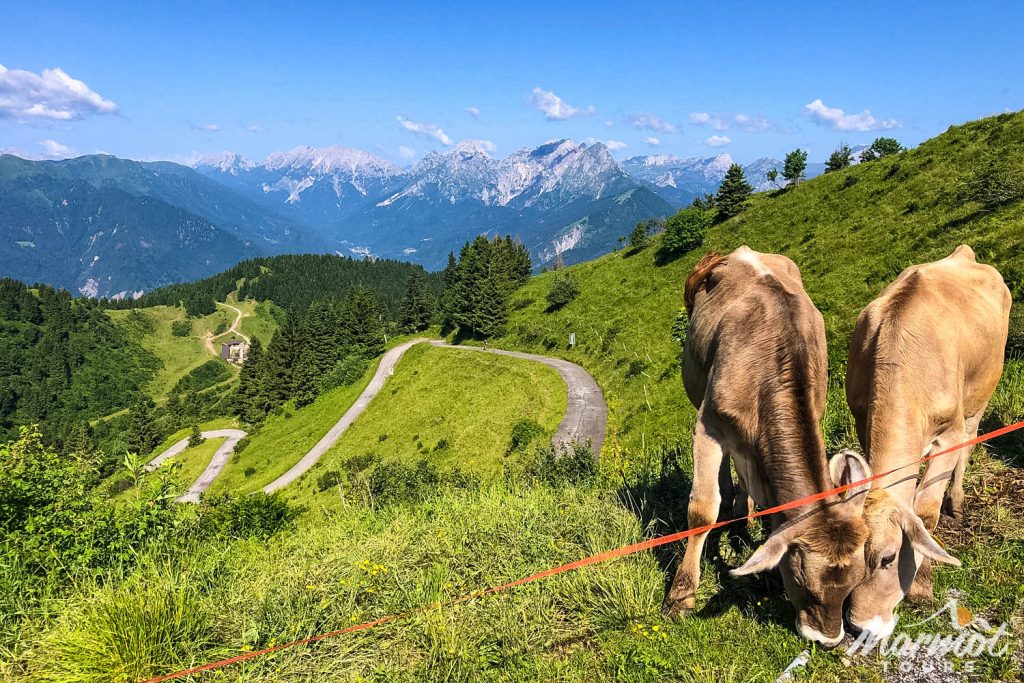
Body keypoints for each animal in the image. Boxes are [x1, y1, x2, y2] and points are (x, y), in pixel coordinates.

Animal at [667, 245, 876, 647]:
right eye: (803, 582)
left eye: (855, 584)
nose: (828, 639)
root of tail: (740, 252)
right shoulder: (708, 422)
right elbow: (701, 511)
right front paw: (681, 596)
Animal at [843, 245, 1011, 643]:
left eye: (888, 559)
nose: (858, 625)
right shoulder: (861, 420)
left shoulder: (948, 432)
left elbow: (925, 514)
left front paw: (920, 585)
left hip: (982, 391)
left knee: (969, 441)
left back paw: (958, 501)